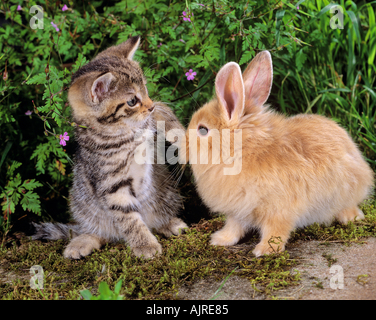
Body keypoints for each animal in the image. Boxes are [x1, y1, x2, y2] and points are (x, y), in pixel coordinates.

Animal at [31, 35, 187, 260]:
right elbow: (129, 219)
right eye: (132, 101)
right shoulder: (112, 185)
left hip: (167, 194)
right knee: (104, 233)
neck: (120, 133)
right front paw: (145, 244)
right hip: (83, 205)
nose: (150, 106)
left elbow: (163, 114)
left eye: (146, 90)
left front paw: (183, 137)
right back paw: (82, 241)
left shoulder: (148, 123)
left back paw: (170, 224)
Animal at [181, 51, 374, 256]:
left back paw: (350, 217)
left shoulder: (279, 209)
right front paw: (220, 240)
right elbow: (234, 227)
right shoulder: (238, 211)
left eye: (202, 130)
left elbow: (276, 230)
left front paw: (265, 250)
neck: (242, 151)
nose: (182, 147)